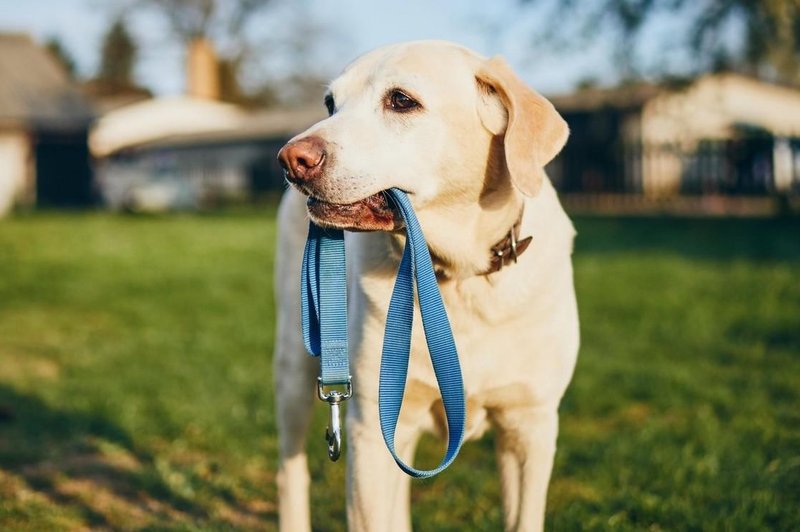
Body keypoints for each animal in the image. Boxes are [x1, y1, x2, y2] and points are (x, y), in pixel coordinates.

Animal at [272, 39, 580, 528]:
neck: (456, 278)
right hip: (295, 368)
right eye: (331, 104)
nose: (291, 159)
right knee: (291, 471)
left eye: (401, 100)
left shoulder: (528, 425)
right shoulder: (370, 428)